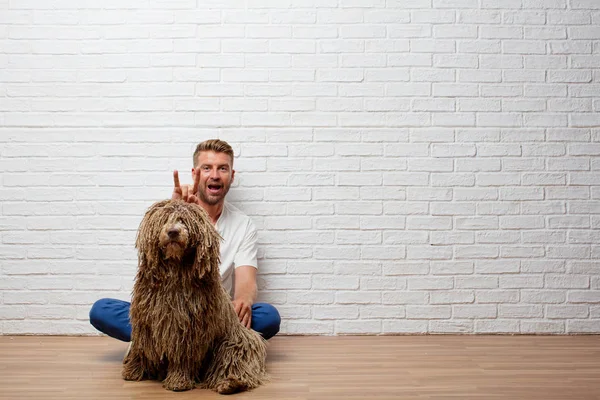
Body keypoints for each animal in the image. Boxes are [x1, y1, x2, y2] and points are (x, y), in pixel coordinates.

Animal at [122, 200, 268, 394]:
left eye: (184, 221)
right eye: (164, 219)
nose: (173, 232)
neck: (175, 271)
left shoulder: (189, 329)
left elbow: (183, 357)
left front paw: (178, 380)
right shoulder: (146, 322)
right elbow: (141, 348)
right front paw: (133, 370)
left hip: (232, 344)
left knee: (234, 365)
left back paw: (230, 383)